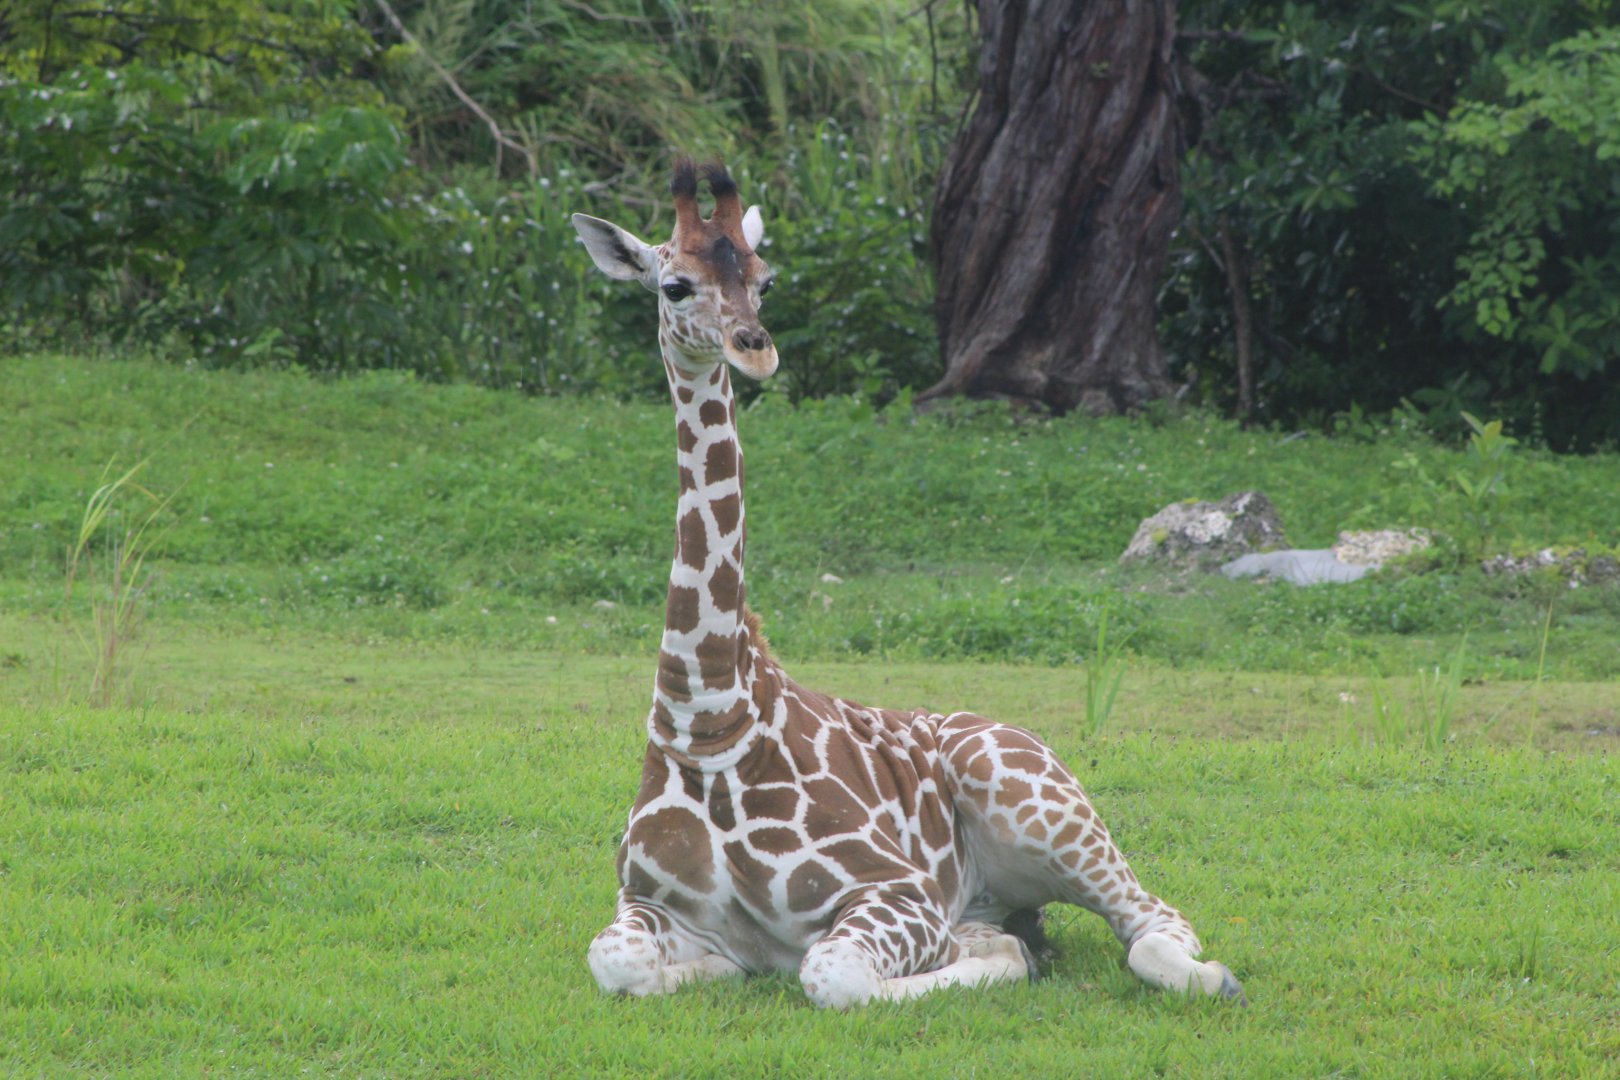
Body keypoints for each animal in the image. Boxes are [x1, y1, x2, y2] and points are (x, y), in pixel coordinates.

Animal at [569, 160, 1246, 1009]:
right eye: (674, 285)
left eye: (764, 279)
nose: (754, 349)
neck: (710, 720)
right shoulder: (645, 901)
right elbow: (615, 961)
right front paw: (715, 967)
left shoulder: (901, 891)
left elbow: (831, 975)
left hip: (1041, 805)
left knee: (1151, 921)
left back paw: (1207, 974)